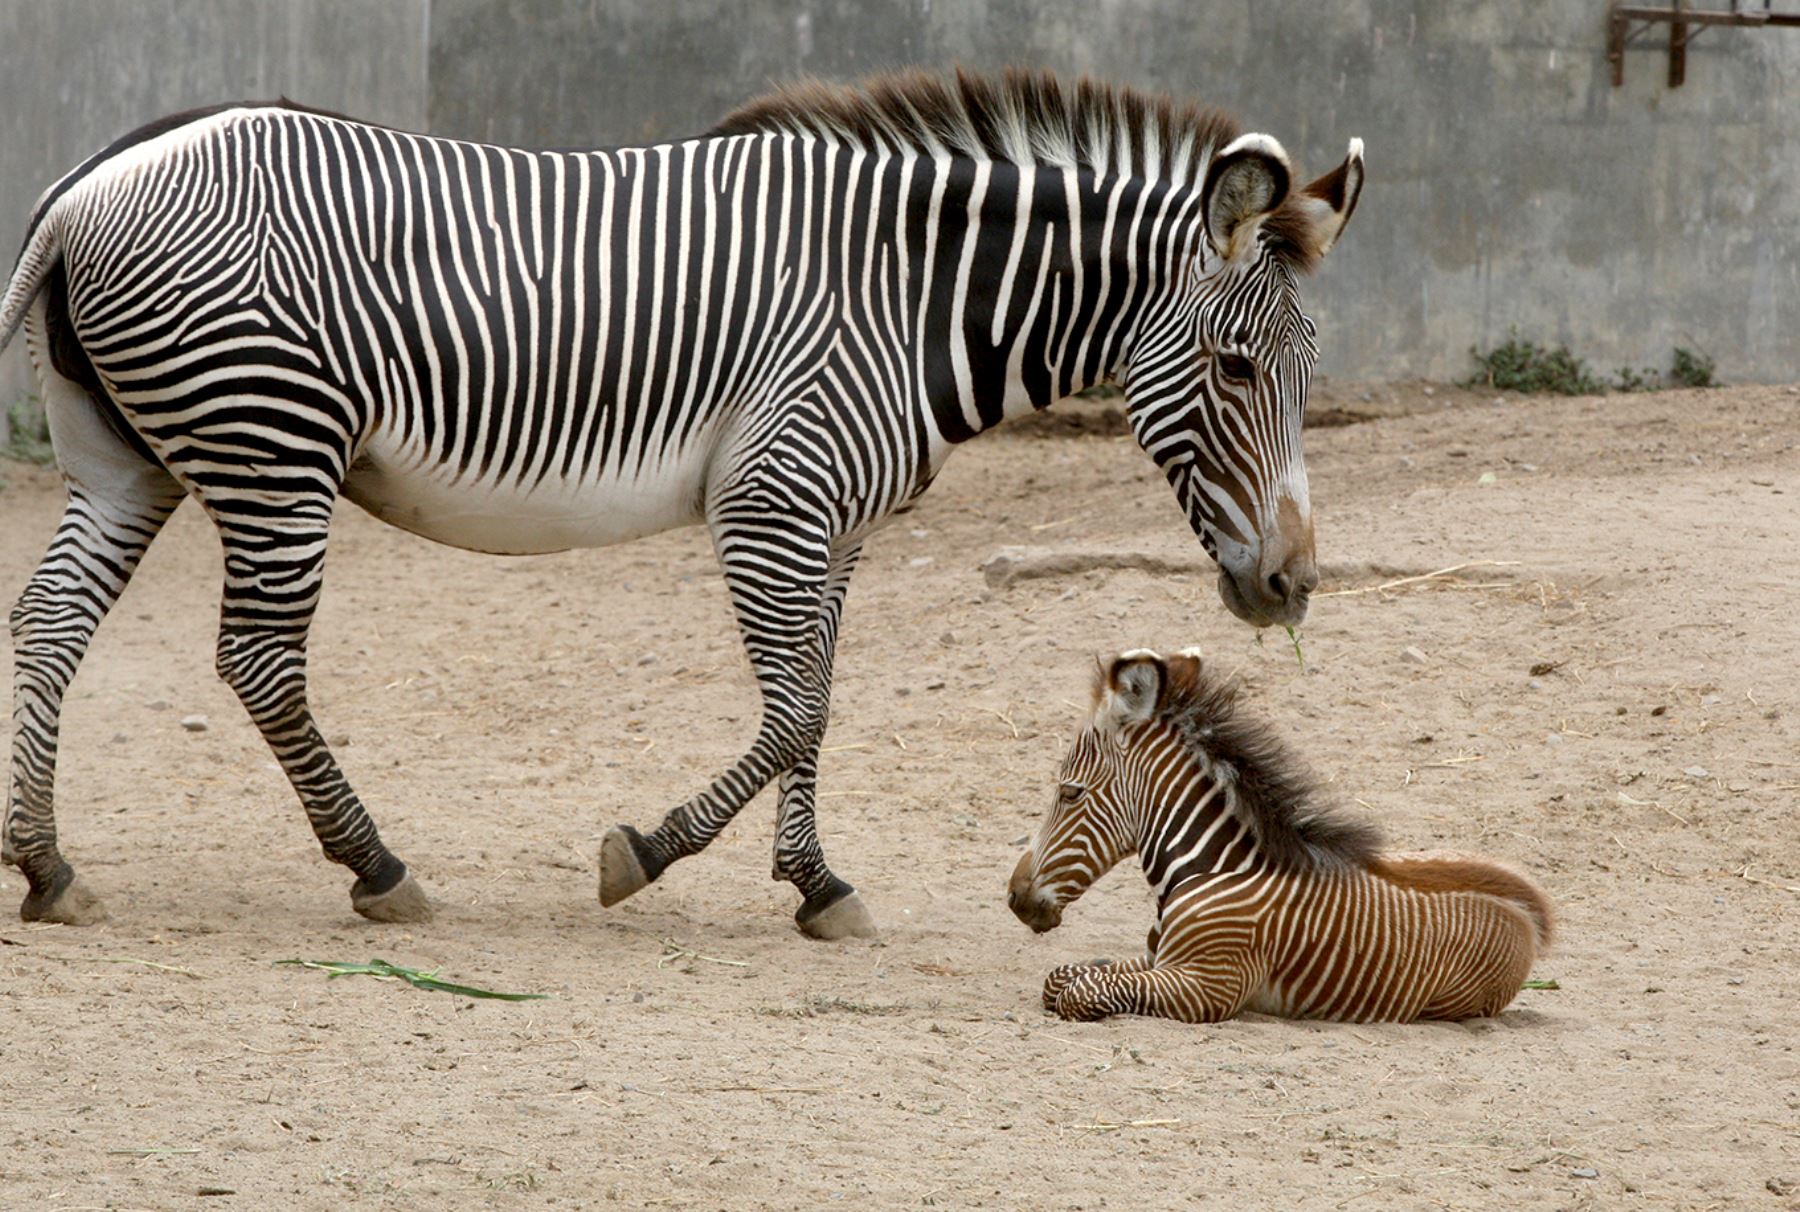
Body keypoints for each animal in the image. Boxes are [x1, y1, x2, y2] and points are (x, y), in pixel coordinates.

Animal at [0, 68, 1360, 936]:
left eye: (1309, 371)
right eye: (1238, 370)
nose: (1292, 587)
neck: (910, 300)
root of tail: (84, 183)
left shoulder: (837, 525)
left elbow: (819, 704)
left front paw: (816, 885)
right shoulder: (773, 499)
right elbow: (795, 710)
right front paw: (647, 856)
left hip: (129, 458)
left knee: (52, 625)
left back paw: (50, 867)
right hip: (271, 446)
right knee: (257, 659)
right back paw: (377, 868)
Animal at [1008, 651, 1555, 1022]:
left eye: (1070, 793)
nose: (1015, 897)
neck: (1212, 867)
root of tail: (1531, 914)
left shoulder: (1206, 985)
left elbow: (1078, 991)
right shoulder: (1159, 958)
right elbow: (1064, 977)